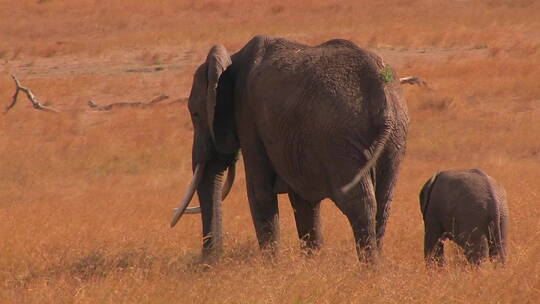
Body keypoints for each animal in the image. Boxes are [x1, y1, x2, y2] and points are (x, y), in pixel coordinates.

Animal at [171, 33, 408, 262]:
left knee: (359, 202)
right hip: (395, 137)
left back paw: (369, 268)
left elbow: (259, 192)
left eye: (195, 114)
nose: (207, 263)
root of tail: (382, 95)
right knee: (384, 201)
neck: (232, 59)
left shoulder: (248, 115)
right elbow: (303, 201)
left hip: (343, 139)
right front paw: (311, 263)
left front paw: (271, 265)